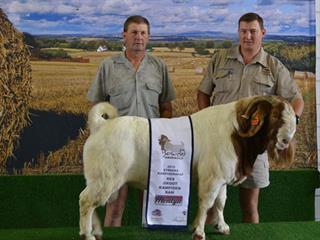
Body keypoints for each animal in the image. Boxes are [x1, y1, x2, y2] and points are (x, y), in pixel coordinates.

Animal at [79, 95, 296, 240]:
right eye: (276, 116)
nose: (286, 140)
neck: (234, 132)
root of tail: (100, 126)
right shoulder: (212, 178)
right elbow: (207, 203)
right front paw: (199, 231)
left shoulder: (222, 180)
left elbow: (220, 203)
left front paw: (222, 227)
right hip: (105, 178)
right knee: (86, 201)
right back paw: (87, 234)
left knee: (91, 202)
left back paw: (96, 231)